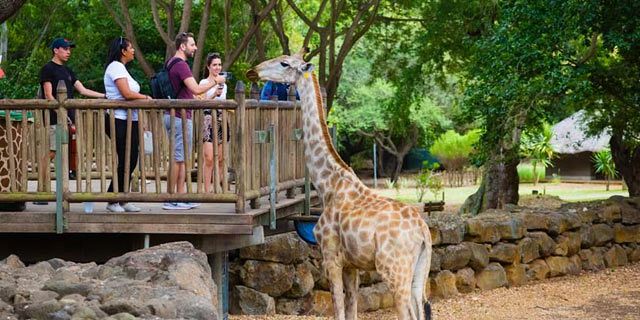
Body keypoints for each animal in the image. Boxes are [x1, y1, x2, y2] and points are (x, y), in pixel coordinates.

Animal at [248, 48, 432, 318]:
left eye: (284, 63)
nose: (253, 71)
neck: (329, 184)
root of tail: (423, 232)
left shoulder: (331, 256)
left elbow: (339, 309)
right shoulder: (352, 264)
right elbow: (352, 308)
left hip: (394, 269)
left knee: (406, 311)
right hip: (420, 269)